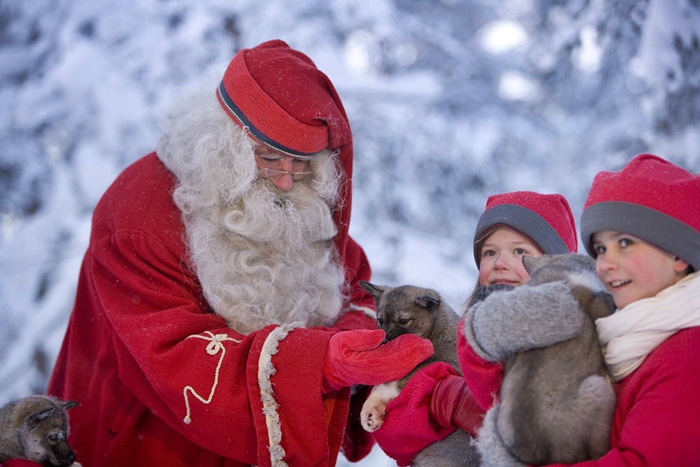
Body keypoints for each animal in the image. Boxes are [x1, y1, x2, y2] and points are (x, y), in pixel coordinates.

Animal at [358, 282, 478, 467]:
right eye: (380, 320)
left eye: (404, 320)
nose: (385, 342)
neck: (435, 331)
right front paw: (371, 412)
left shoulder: (450, 364)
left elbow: (400, 380)